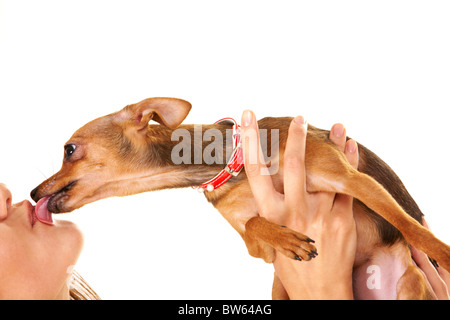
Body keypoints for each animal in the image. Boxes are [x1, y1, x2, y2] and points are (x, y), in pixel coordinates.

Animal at [31, 96, 450, 298]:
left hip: (411, 284)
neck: (232, 165)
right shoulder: (256, 249)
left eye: (69, 150)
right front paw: (288, 239)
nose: (34, 192)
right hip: (280, 287)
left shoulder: (350, 179)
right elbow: (253, 223)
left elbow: (410, 225)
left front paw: (443, 253)